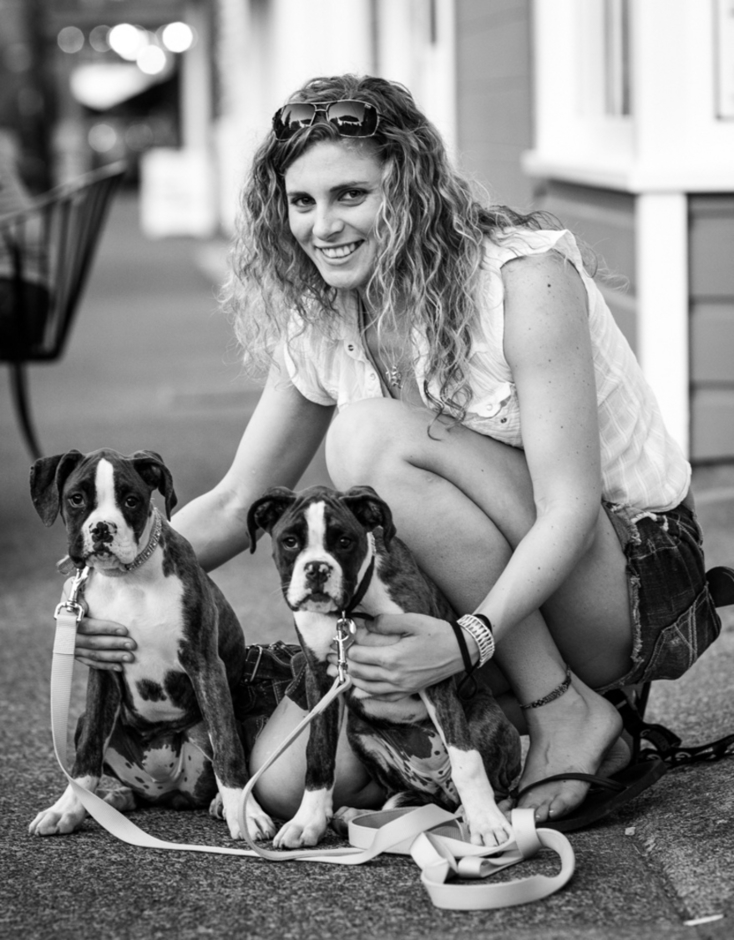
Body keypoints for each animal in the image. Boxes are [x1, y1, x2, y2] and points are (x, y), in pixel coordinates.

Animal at [28, 448, 275, 842]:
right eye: (76, 499)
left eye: (131, 501)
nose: (102, 529)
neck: (129, 579)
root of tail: (168, 790)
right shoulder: (103, 667)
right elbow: (88, 751)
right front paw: (67, 808)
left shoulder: (205, 665)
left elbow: (228, 747)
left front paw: (245, 813)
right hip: (92, 723)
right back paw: (115, 798)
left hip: (202, 729)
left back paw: (221, 804)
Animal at [247, 484, 521, 849]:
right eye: (290, 541)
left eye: (344, 541)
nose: (317, 569)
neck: (350, 611)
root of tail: (438, 783)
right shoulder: (320, 680)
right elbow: (318, 754)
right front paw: (307, 822)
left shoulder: (431, 666)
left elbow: (466, 758)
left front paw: (486, 823)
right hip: (360, 735)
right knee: (404, 800)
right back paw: (355, 816)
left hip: (484, 720)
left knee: (498, 789)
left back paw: (479, 812)